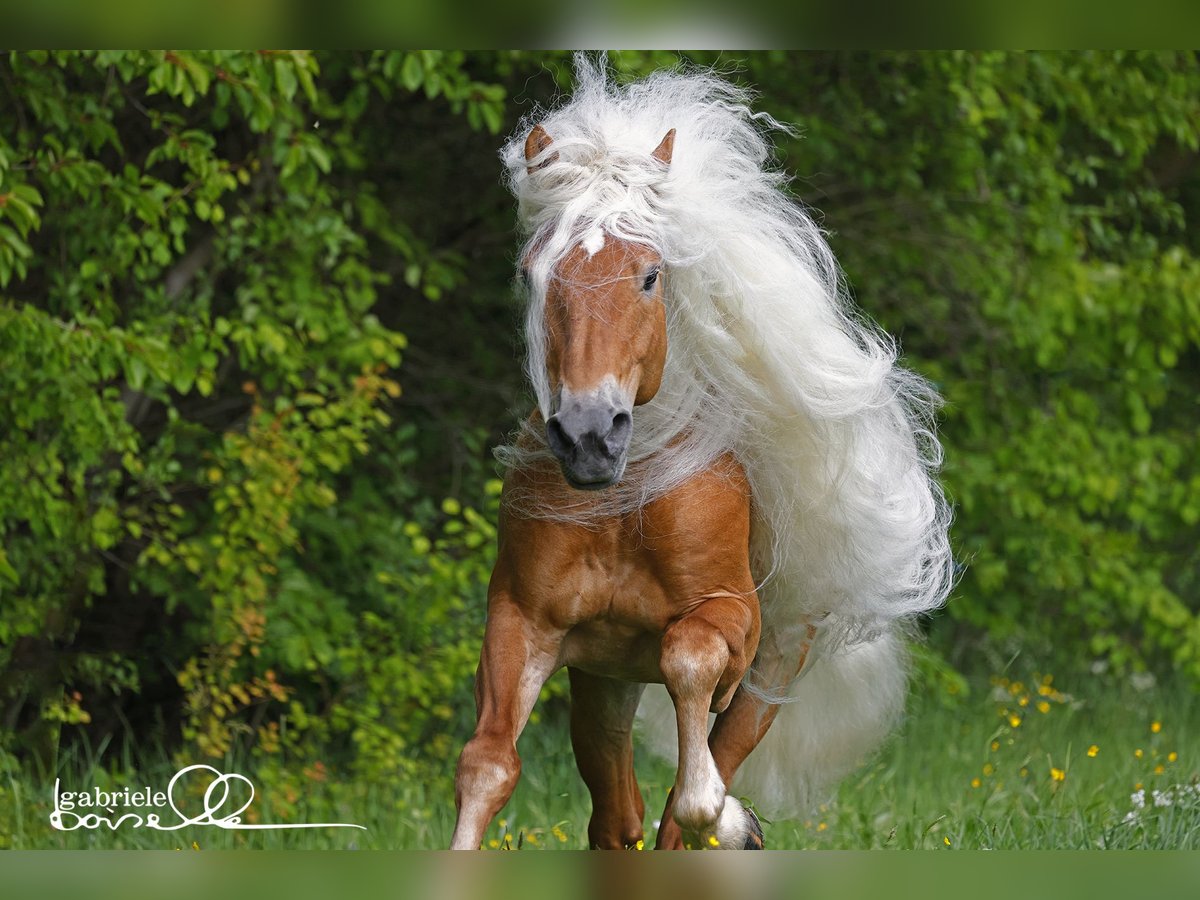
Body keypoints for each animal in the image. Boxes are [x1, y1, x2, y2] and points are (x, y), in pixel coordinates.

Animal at [446, 58, 950, 854]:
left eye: (651, 274)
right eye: (533, 274)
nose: (589, 435)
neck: (626, 504)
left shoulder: (729, 619)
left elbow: (689, 686)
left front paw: (730, 815)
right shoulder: (522, 622)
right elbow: (488, 764)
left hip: (770, 670)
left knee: (687, 798)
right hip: (603, 683)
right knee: (616, 819)